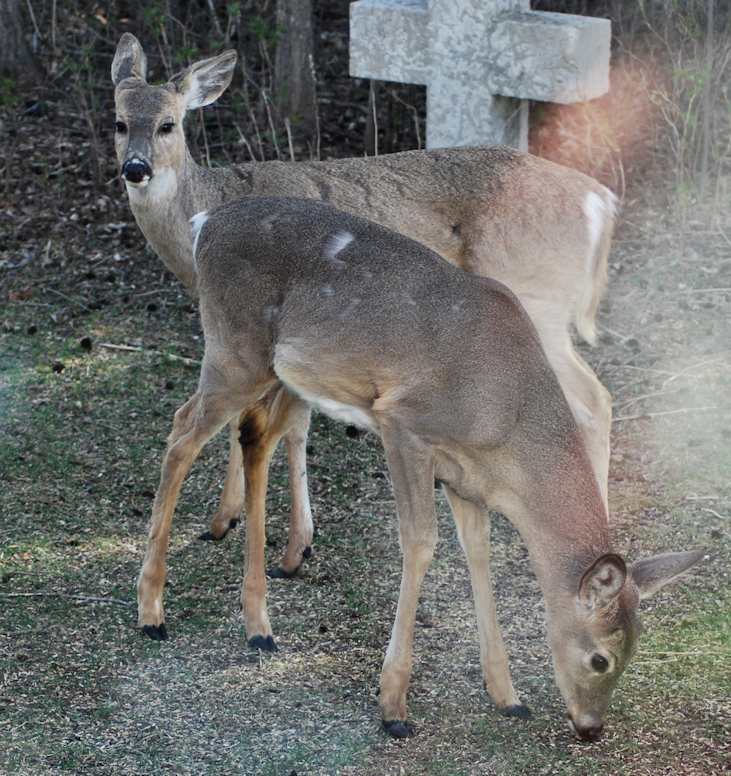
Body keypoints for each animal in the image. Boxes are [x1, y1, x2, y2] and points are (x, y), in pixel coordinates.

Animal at [111, 33, 617, 589]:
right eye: (119, 121)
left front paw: (288, 542)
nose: (135, 168)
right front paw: (230, 520)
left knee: (594, 399)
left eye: (169, 123)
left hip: (538, 301)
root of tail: (601, 201)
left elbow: (289, 426)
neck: (201, 220)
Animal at [137, 195, 703, 741]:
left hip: (284, 374)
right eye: (601, 658)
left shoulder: (466, 477)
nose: (590, 728)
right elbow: (421, 542)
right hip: (235, 349)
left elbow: (478, 552)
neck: (507, 421)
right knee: (181, 434)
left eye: (633, 654)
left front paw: (507, 696)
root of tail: (206, 223)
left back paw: (259, 624)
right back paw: (152, 612)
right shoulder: (405, 425)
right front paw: (393, 705)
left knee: (253, 436)